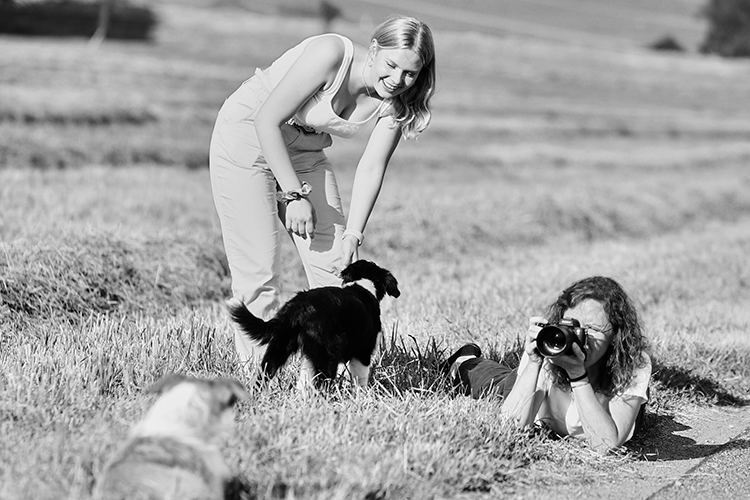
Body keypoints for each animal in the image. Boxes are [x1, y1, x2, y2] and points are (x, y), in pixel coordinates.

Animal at [229, 260, 402, 388]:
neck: (364, 284)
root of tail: (298, 307)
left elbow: (304, 379)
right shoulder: (363, 351)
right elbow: (361, 378)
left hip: (279, 348)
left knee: (264, 376)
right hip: (327, 354)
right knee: (322, 383)